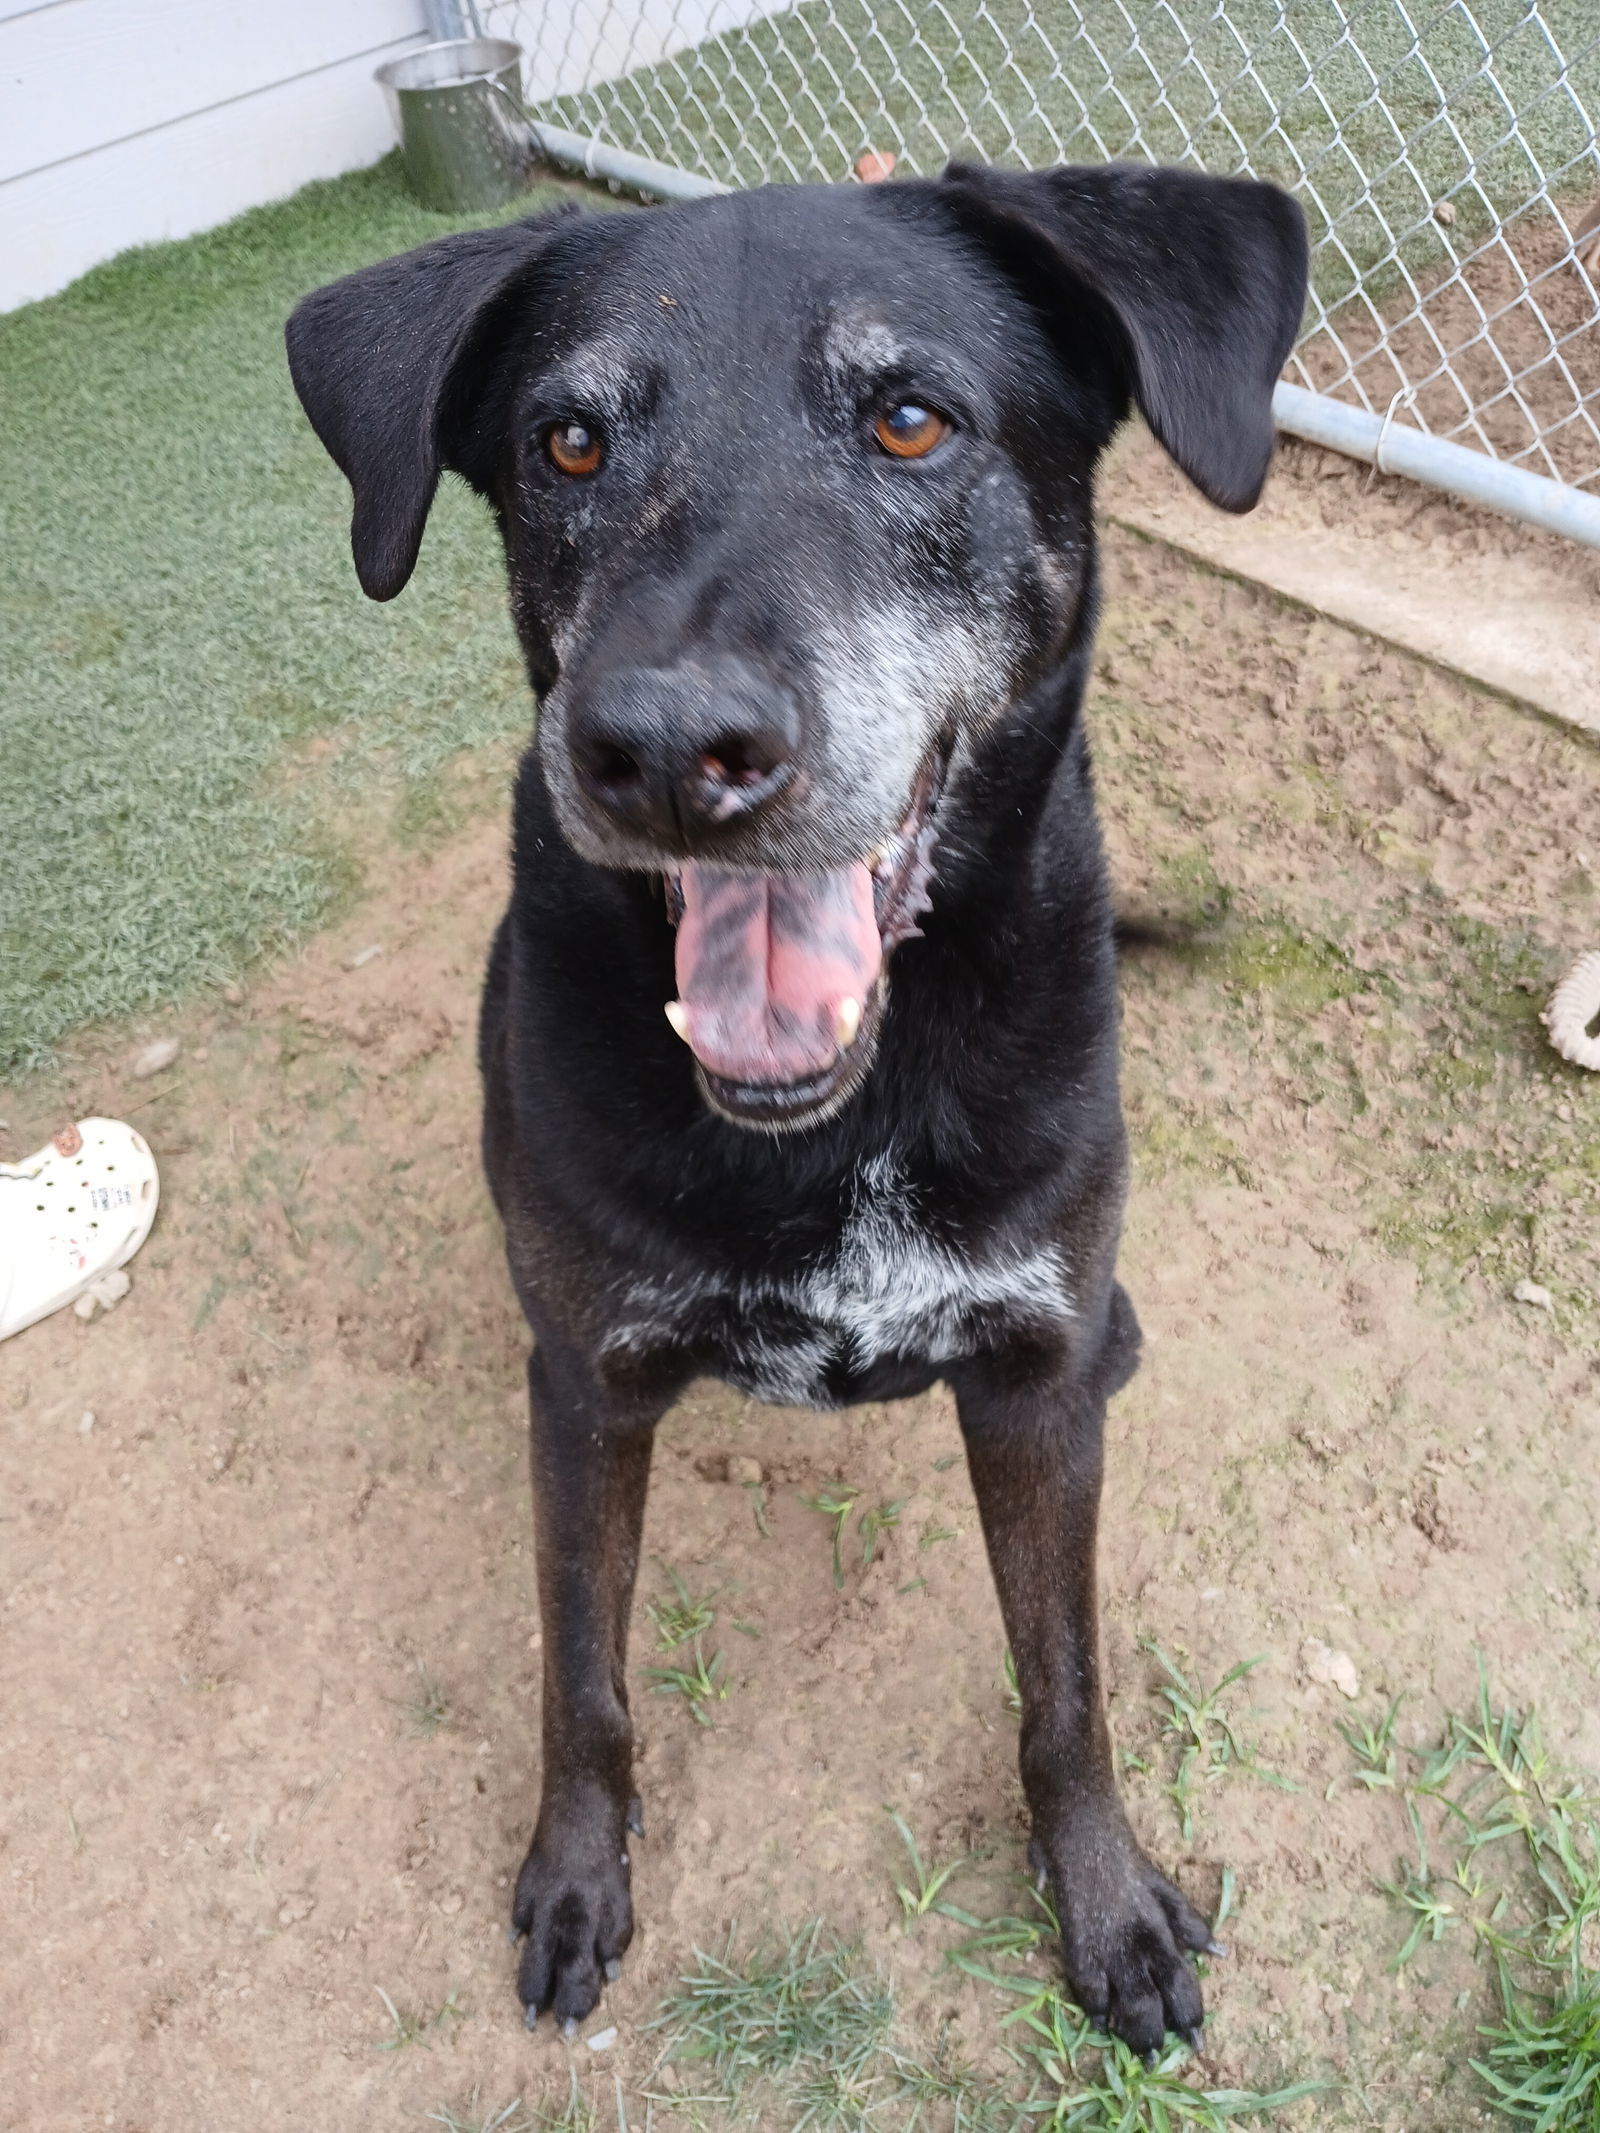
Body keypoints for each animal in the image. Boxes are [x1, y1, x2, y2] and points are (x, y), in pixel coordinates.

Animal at [292, 157, 1305, 2056]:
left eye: (912, 419)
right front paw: (577, 1877)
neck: (836, 1114)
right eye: (568, 444)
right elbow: (584, 1679)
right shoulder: (584, 1385)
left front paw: (1109, 1905)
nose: (664, 750)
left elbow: (1065, 1685)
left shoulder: (1034, 1390)